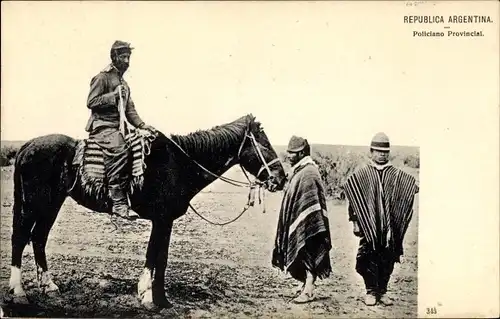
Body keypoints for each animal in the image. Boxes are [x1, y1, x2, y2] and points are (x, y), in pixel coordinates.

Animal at [7, 114, 286, 308]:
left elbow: (156, 256)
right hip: (34, 204)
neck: (180, 163)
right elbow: (158, 258)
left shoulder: (163, 221)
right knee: (21, 238)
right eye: (264, 144)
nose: (281, 179)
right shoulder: (163, 219)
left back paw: (49, 286)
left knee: (38, 238)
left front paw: (149, 294)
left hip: (51, 204)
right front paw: (156, 300)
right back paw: (18, 292)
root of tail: (27, 146)